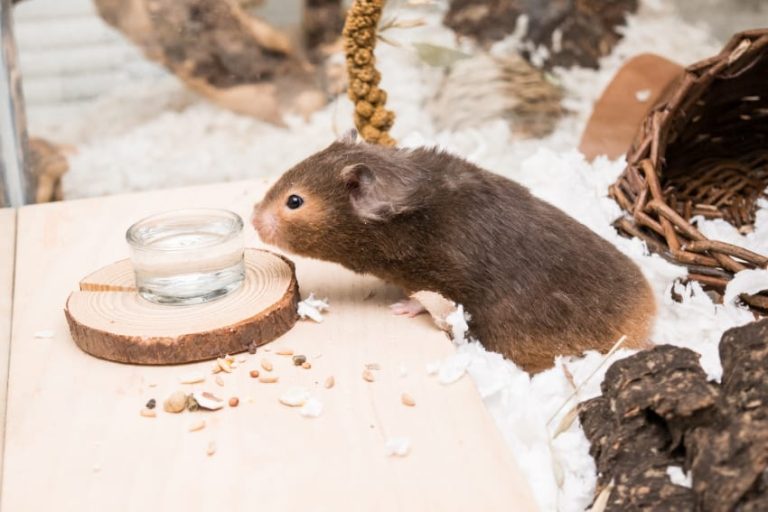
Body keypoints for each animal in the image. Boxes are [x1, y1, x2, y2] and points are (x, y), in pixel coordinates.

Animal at [252, 132, 656, 373]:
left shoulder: (445, 279)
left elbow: (429, 298)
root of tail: (646, 325)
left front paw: (400, 308)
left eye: (294, 201)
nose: (254, 219)